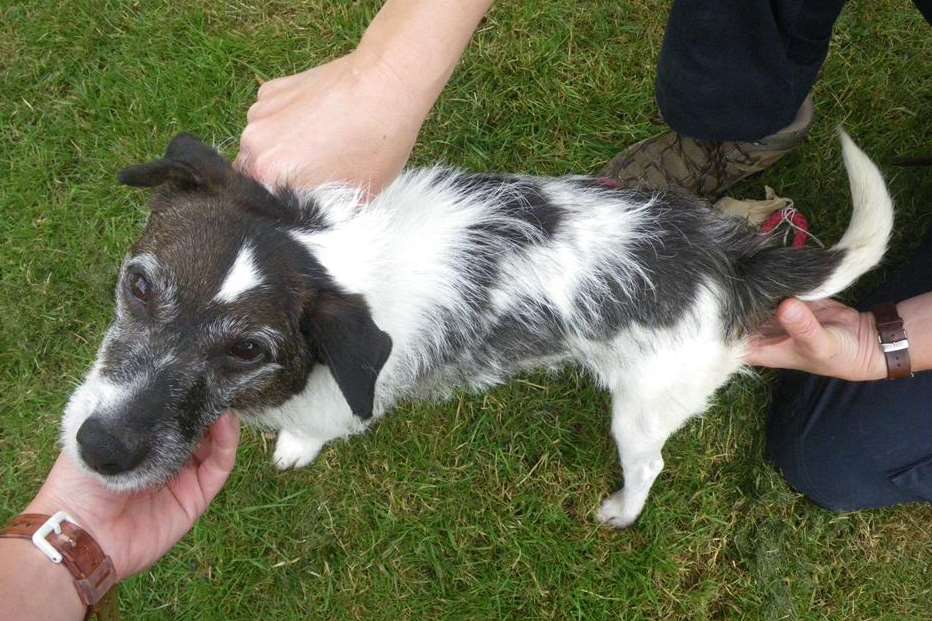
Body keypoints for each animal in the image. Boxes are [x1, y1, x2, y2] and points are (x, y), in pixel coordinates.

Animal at [62, 131, 892, 528]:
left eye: (247, 349)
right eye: (139, 285)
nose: (98, 449)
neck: (337, 262)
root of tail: (734, 264)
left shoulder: (340, 400)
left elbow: (314, 426)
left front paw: (295, 446)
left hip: (644, 406)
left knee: (649, 463)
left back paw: (623, 510)